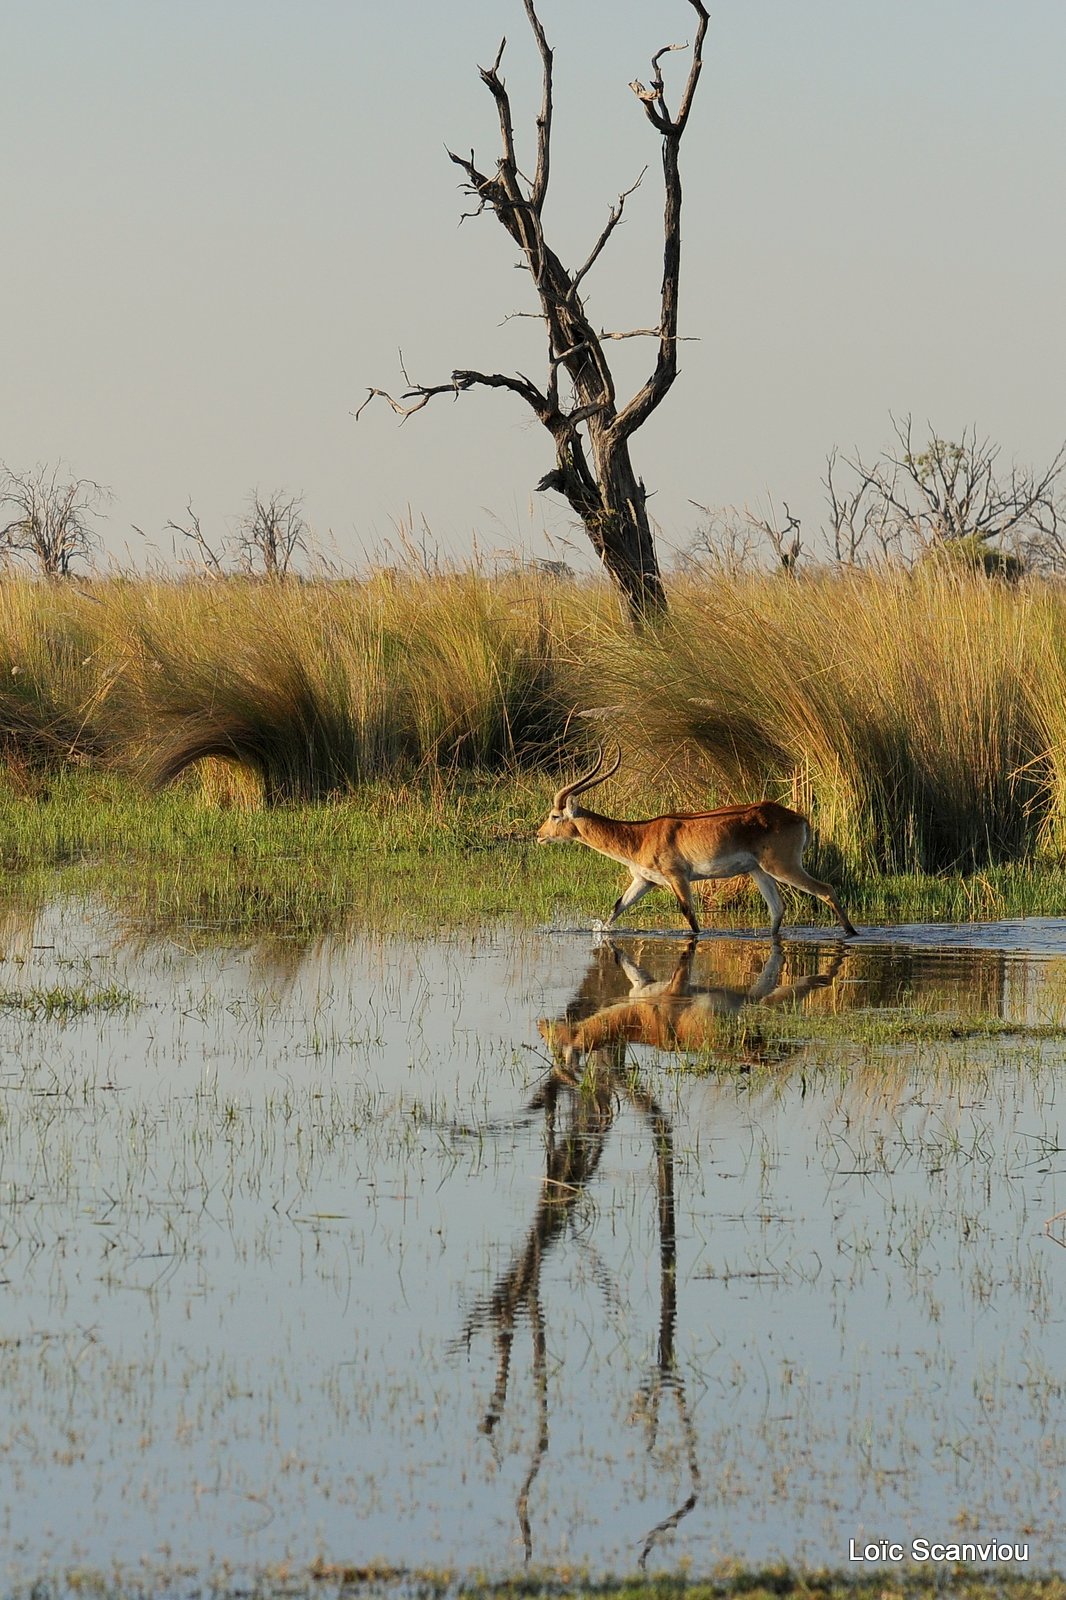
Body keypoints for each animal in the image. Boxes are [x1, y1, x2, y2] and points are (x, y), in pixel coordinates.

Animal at [531, 745, 857, 934]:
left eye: (555, 815)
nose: (539, 835)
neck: (640, 835)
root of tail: (799, 818)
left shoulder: (678, 877)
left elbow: (690, 917)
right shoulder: (644, 881)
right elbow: (617, 908)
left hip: (783, 867)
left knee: (826, 890)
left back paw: (851, 935)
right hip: (759, 871)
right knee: (777, 910)